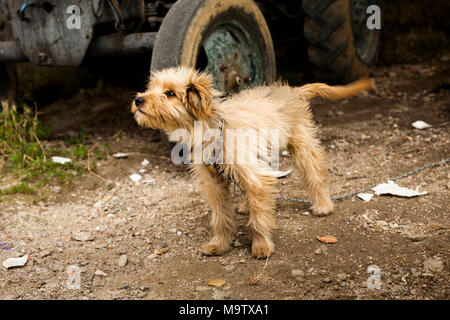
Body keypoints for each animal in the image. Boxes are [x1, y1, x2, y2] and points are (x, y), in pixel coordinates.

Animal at [132, 66, 374, 258]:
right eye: (152, 87)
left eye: (170, 93)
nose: (138, 99)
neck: (212, 129)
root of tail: (293, 91)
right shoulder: (214, 183)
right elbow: (220, 216)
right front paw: (219, 244)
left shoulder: (254, 176)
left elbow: (259, 217)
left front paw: (261, 246)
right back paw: (244, 205)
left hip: (302, 146)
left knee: (315, 173)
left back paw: (323, 205)